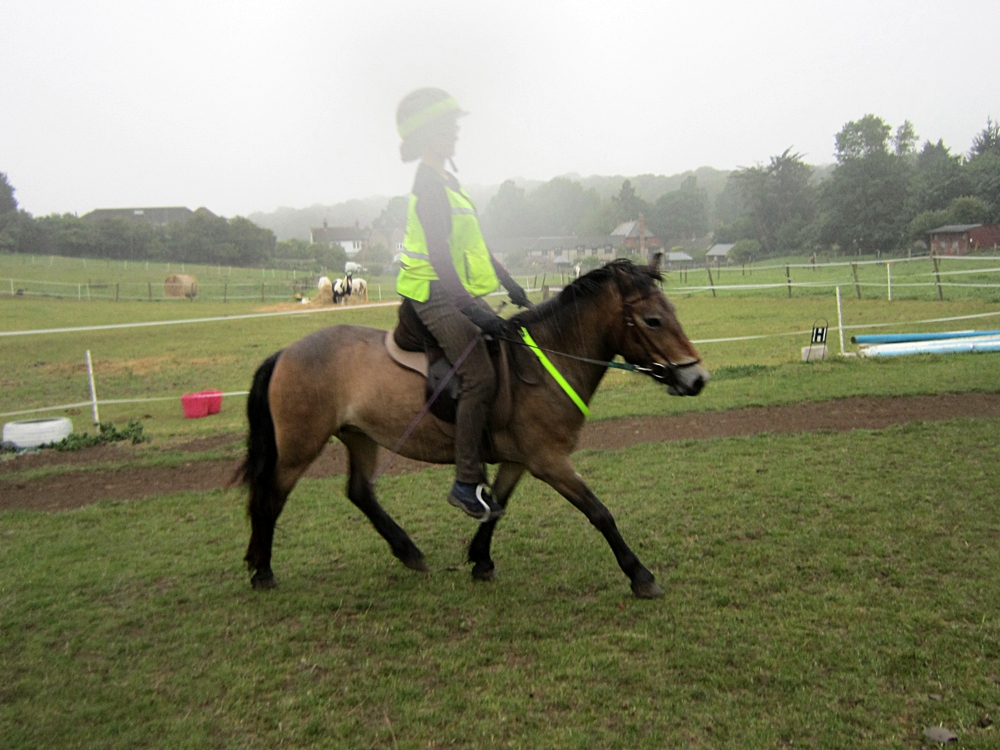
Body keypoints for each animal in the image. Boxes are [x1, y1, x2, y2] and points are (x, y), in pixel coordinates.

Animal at [237, 257, 710, 598]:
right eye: (652, 320)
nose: (697, 378)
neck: (545, 361)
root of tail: (285, 352)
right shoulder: (550, 461)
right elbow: (600, 513)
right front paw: (640, 575)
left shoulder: (521, 460)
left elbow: (497, 505)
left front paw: (481, 560)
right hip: (300, 445)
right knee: (270, 496)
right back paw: (262, 569)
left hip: (360, 436)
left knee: (359, 492)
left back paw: (408, 552)